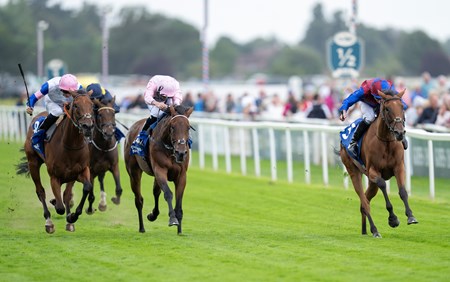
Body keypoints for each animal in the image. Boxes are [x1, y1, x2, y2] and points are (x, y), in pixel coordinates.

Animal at [17, 90, 94, 234]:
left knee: (66, 194)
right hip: (33, 163)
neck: (70, 145)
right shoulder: (54, 177)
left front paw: (72, 217)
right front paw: (56, 204)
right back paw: (49, 221)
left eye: (92, 105)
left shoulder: (80, 171)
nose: (87, 126)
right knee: (40, 191)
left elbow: (85, 188)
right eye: (76, 105)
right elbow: (59, 207)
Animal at [124, 104, 192, 235]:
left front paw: (179, 230)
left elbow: (179, 199)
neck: (170, 149)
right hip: (133, 172)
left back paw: (153, 215)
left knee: (156, 192)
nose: (181, 153)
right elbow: (168, 194)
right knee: (139, 199)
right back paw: (142, 227)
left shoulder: (182, 175)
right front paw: (172, 219)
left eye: (188, 128)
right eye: (172, 127)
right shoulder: (160, 170)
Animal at [342, 90, 418, 238]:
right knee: (364, 202)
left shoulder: (399, 167)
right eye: (387, 109)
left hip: (371, 184)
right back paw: (375, 230)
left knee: (365, 201)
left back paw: (366, 230)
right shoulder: (373, 171)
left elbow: (403, 191)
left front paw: (411, 216)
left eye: (402, 107)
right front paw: (393, 219)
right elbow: (383, 184)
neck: (386, 141)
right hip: (354, 171)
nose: (400, 133)